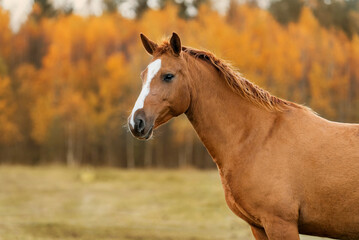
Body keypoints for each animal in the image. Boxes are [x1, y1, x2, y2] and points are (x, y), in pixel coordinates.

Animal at [128, 32, 359, 240]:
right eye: (143, 75)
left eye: (168, 76)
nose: (136, 123)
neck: (257, 138)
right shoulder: (259, 227)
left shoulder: (280, 224)